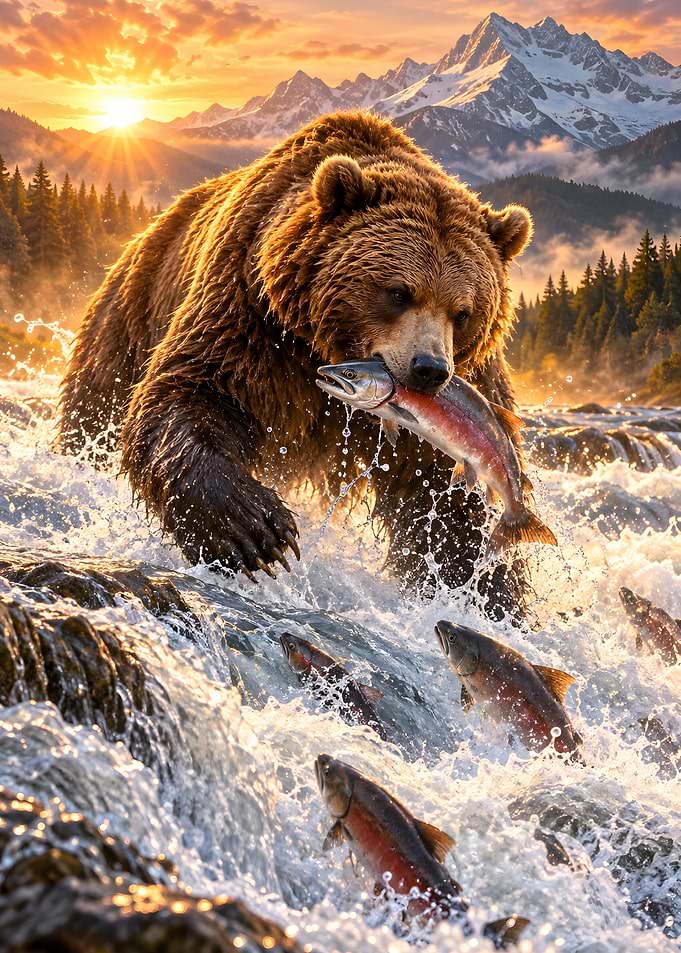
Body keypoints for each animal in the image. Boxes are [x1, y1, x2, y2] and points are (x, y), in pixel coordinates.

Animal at [58, 111, 533, 617]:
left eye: (463, 312)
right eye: (398, 292)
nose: (429, 370)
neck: (325, 342)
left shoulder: (461, 397)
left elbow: (446, 497)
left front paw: (489, 596)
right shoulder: (252, 315)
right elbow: (194, 392)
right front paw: (257, 530)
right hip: (130, 314)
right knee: (94, 405)